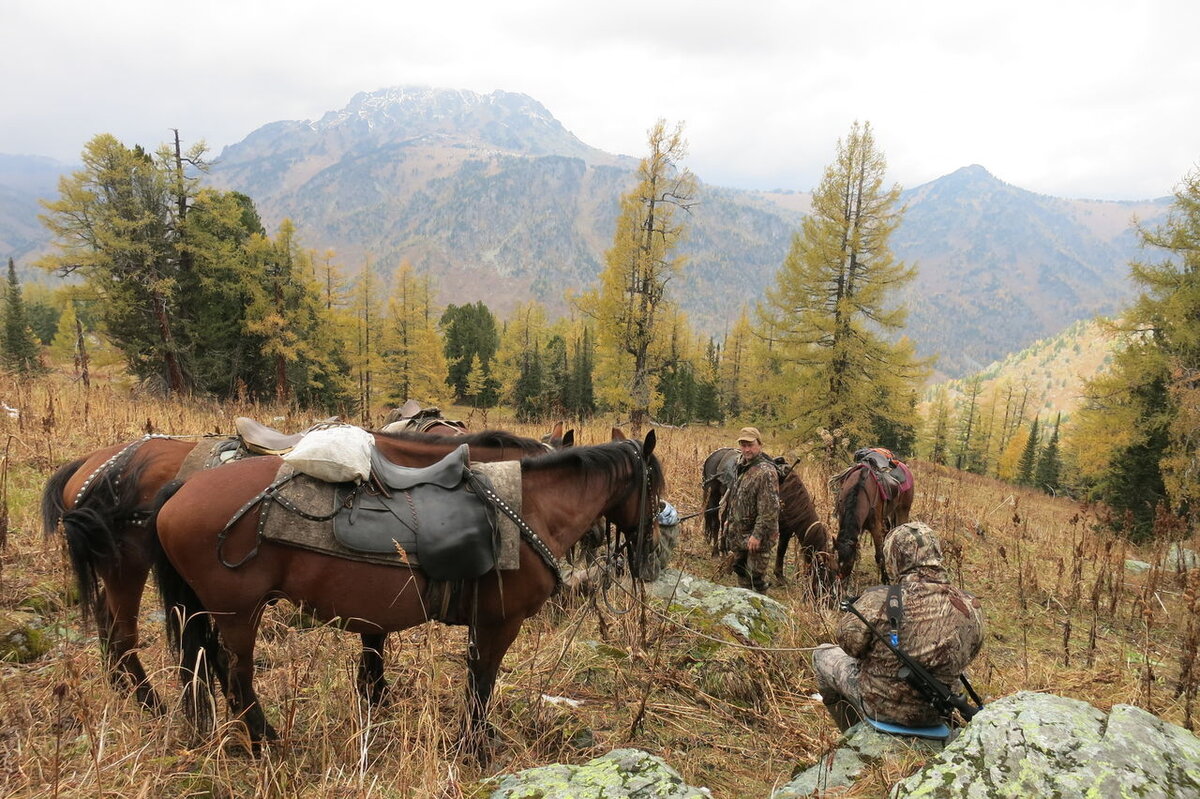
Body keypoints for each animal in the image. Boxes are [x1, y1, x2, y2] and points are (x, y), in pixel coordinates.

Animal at [38, 422, 552, 710]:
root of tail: (92, 465)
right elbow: (374, 635)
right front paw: (375, 694)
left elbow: (373, 634)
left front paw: (374, 694)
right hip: (126, 566)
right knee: (122, 636)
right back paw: (152, 704)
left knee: (114, 632)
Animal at [152, 429, 667, 748]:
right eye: (655, 492)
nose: (649, 560)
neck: (531, 508)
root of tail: (179, 490)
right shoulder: (500, 622)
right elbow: (483, 682)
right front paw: (475, 746)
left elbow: (471, 679)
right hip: (239, 612)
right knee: (236, 672)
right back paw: (265, 739)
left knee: (213, 665)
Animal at [696, 443, 835, 595]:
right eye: (823, 568)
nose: (826, 594)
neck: (789, 497)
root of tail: (713, 456)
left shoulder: (786, 530)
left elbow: (781, 551)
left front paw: (780, 577)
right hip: (713, 494)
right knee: (715, 521)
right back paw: (715, 552)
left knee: (723, 520)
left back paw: (723, 550)